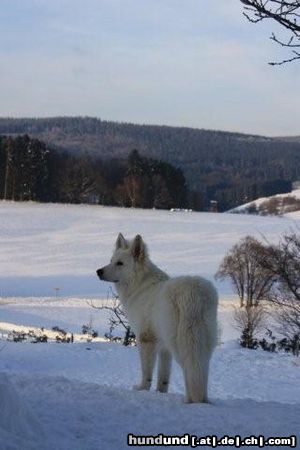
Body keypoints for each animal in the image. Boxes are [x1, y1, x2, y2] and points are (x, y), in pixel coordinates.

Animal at [98, 234, 218, 402]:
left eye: (120, 263)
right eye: (111, 260)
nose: (98, 271)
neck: (140, 284)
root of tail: (194, 295)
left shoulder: (146, 340)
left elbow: (146, 372)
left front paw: (142, 388)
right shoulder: (164, 348)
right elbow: (163, 377)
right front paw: (161, 392)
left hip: (181, 343)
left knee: (190, 369)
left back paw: (190, 400)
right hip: (203, 343)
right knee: (201, 370)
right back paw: (203, 399)